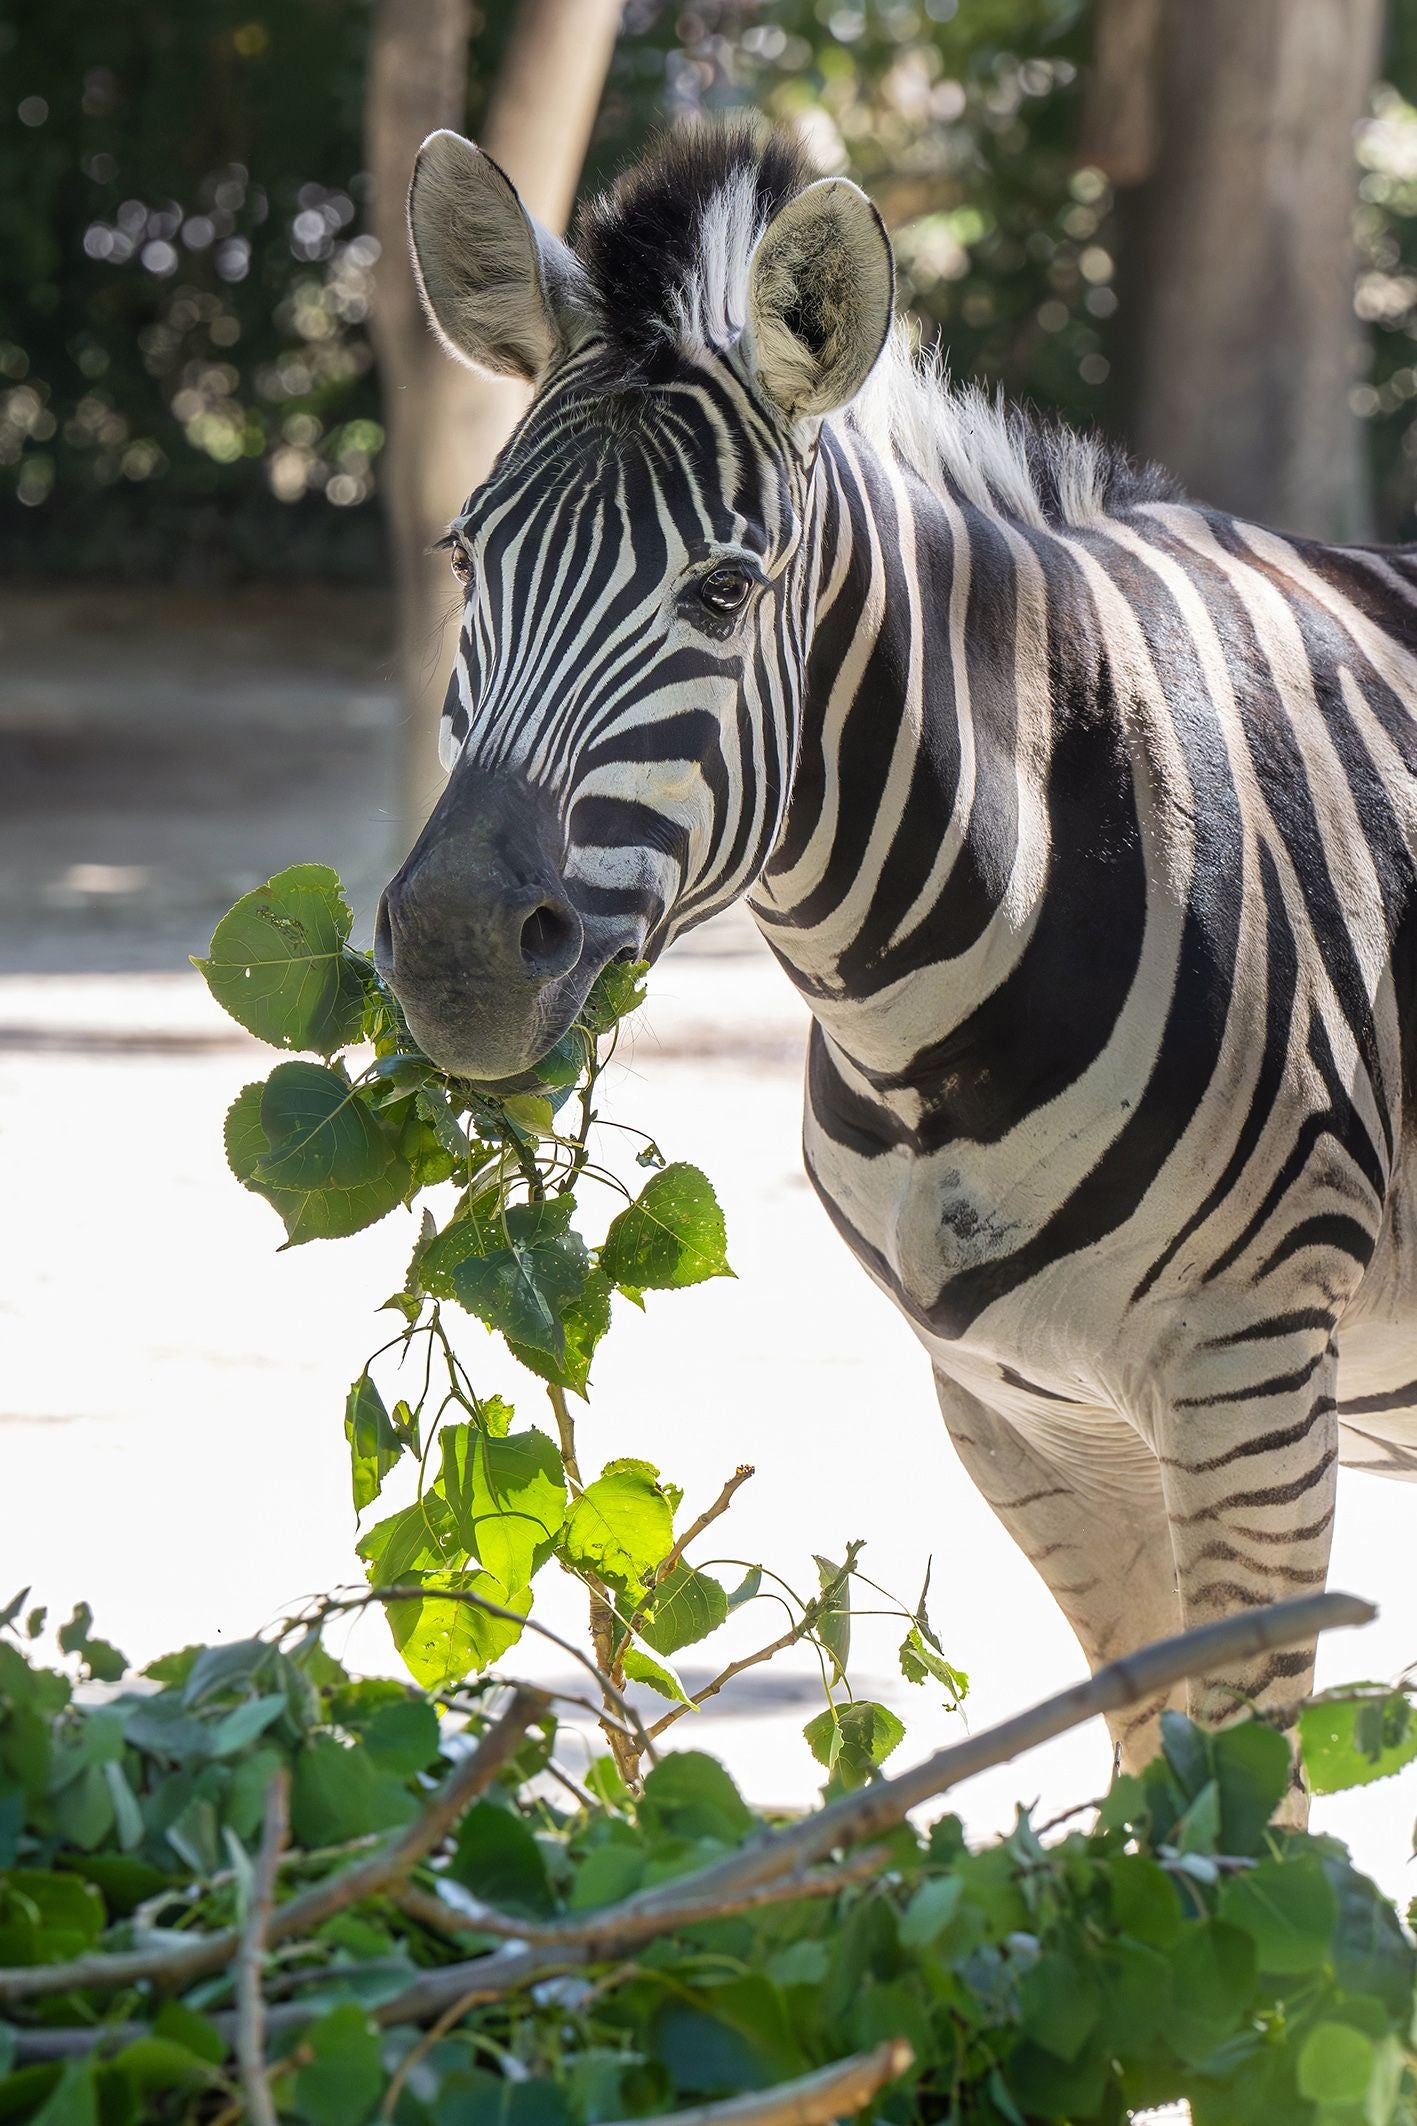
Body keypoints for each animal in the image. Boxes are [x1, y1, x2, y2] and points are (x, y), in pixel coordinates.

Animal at [375, 122, 1417, 1787]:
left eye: (725, 593)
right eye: (465, 560)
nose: (459, 953)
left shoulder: (1248, 1382)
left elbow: (1236, 1807)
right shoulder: (1025, 1414)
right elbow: (1136, 1777)